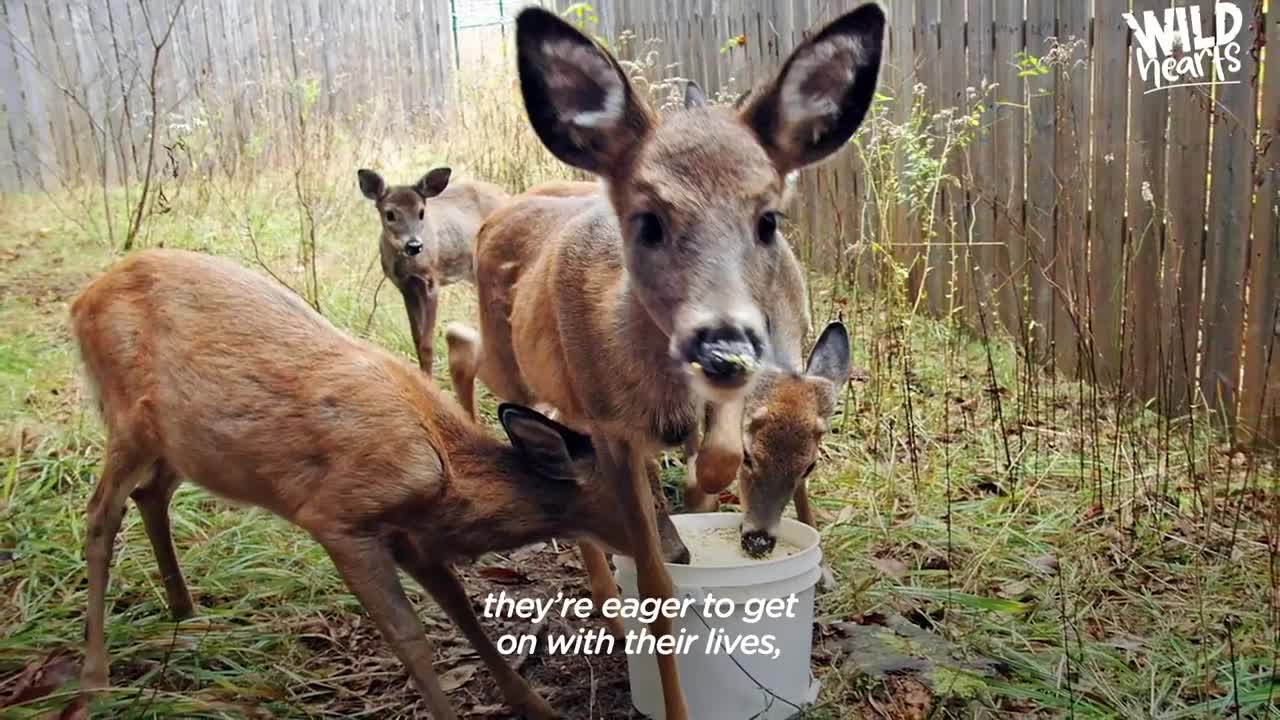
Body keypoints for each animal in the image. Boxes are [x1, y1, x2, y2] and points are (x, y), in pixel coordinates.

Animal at [68, 248, 680, 717]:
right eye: (639, 495)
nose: (678, 551)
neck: (445, 474)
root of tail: (81, 299)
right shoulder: (340, 517)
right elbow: (411, 639)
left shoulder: (412, 536)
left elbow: (464, 612)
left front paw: (537, 707)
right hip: (127, 419)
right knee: (99, 516)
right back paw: (94, 679)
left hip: (179, 443)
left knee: (151, 495)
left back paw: (185, 611)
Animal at [358, 165, 506, 371]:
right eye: (390, 214)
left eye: (421, 212)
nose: (414, 245)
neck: (408, 266)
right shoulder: (406, 287)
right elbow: (417, 341)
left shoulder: (431, 280)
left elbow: (427, 345)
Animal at [458, 5, 880, 712]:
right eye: (648, 219)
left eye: (769, 219)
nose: (724, 346)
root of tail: (498, 211)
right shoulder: (612, 429)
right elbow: (657, 586)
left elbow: (719, 467)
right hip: (513, 360)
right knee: (476, 366)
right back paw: (608, 599)